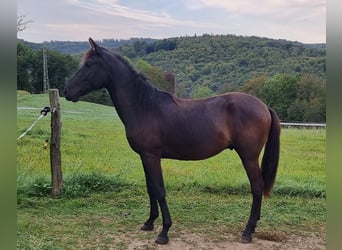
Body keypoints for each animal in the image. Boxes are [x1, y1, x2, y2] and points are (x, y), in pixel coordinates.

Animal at [65, 38, 280, 245]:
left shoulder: (152, 156)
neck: (145, 107)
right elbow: (150, 188)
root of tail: (264, 106)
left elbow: (160, 190)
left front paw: (164, 232)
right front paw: (149, 223)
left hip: (248, 157)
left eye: (89, 64)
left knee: (257, 187)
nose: (67, 91)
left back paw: (247, 231)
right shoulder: (145, 157)